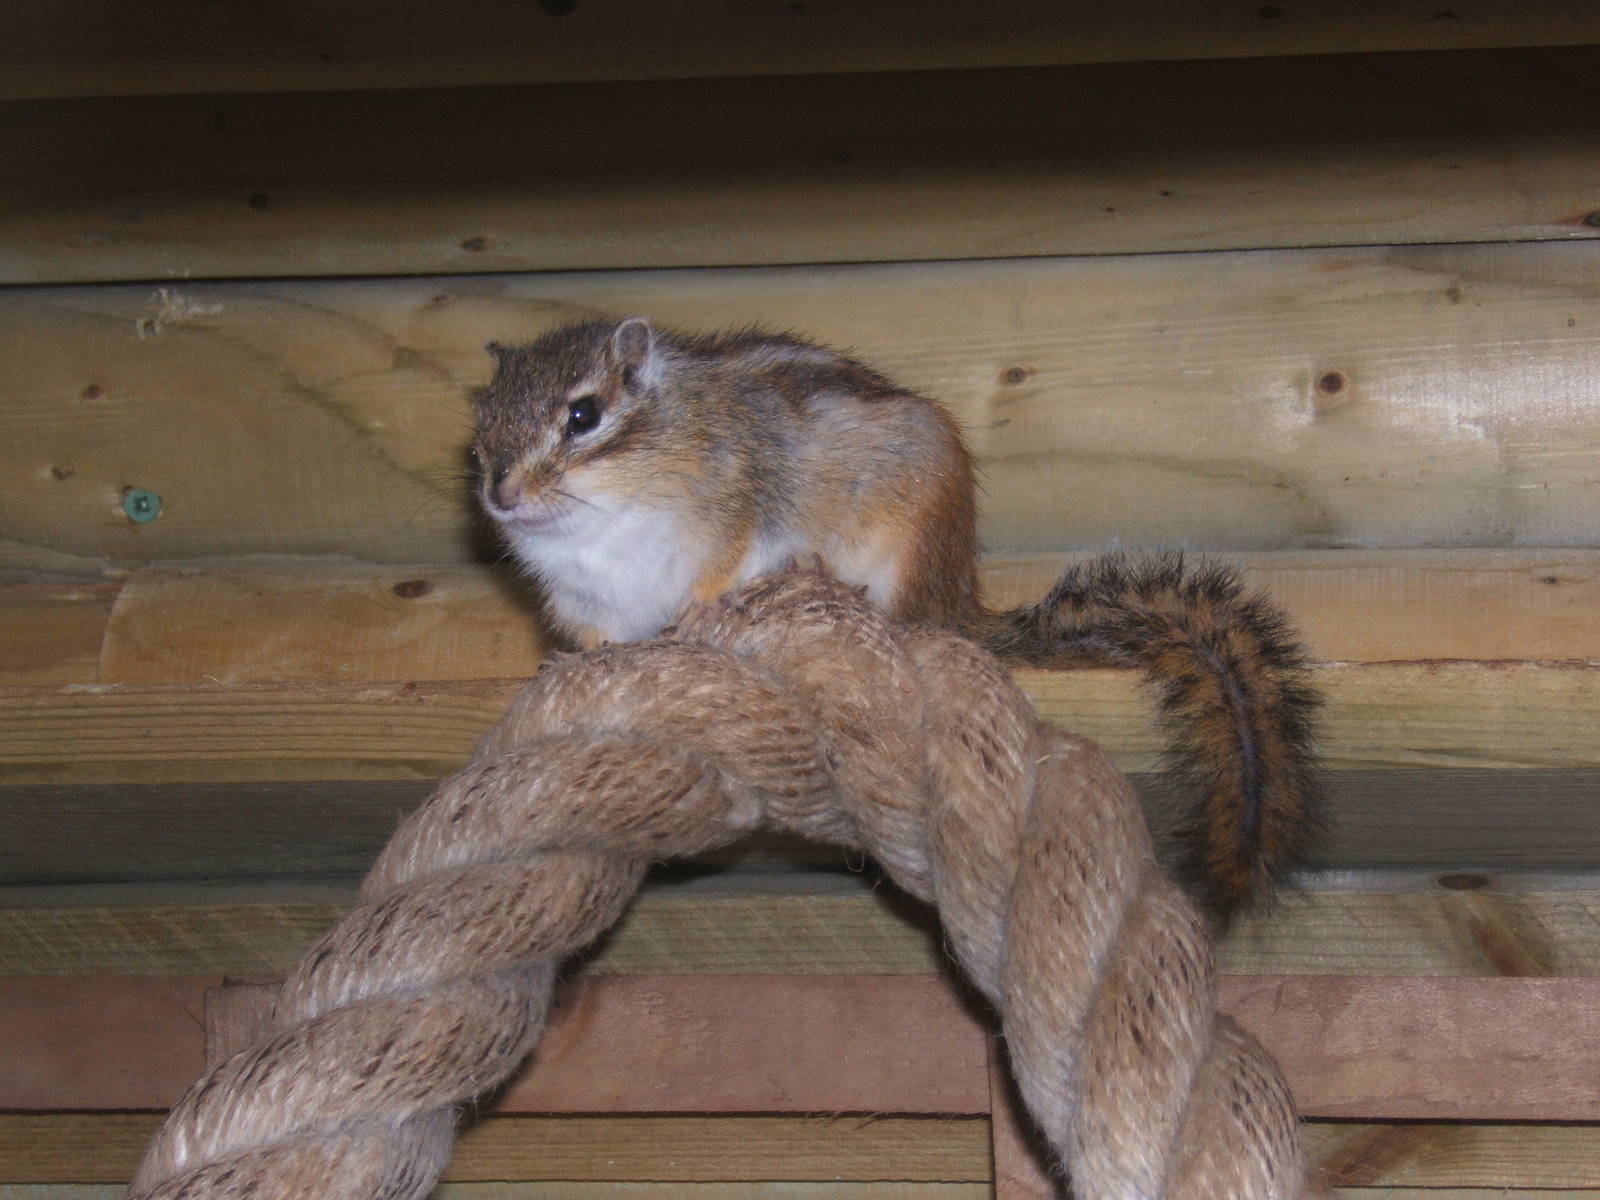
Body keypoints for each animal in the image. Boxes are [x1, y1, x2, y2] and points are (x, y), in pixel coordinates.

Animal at [472, 317, 1324, 918]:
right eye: (480, 425)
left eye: (583, 415)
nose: (499, 494)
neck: (594, 522)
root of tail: (955, 594)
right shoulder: (586, 600)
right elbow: (597, 639)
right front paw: (577, 662)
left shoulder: (737, 508)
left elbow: (719, 569)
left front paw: (702, 611)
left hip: (903, 543)